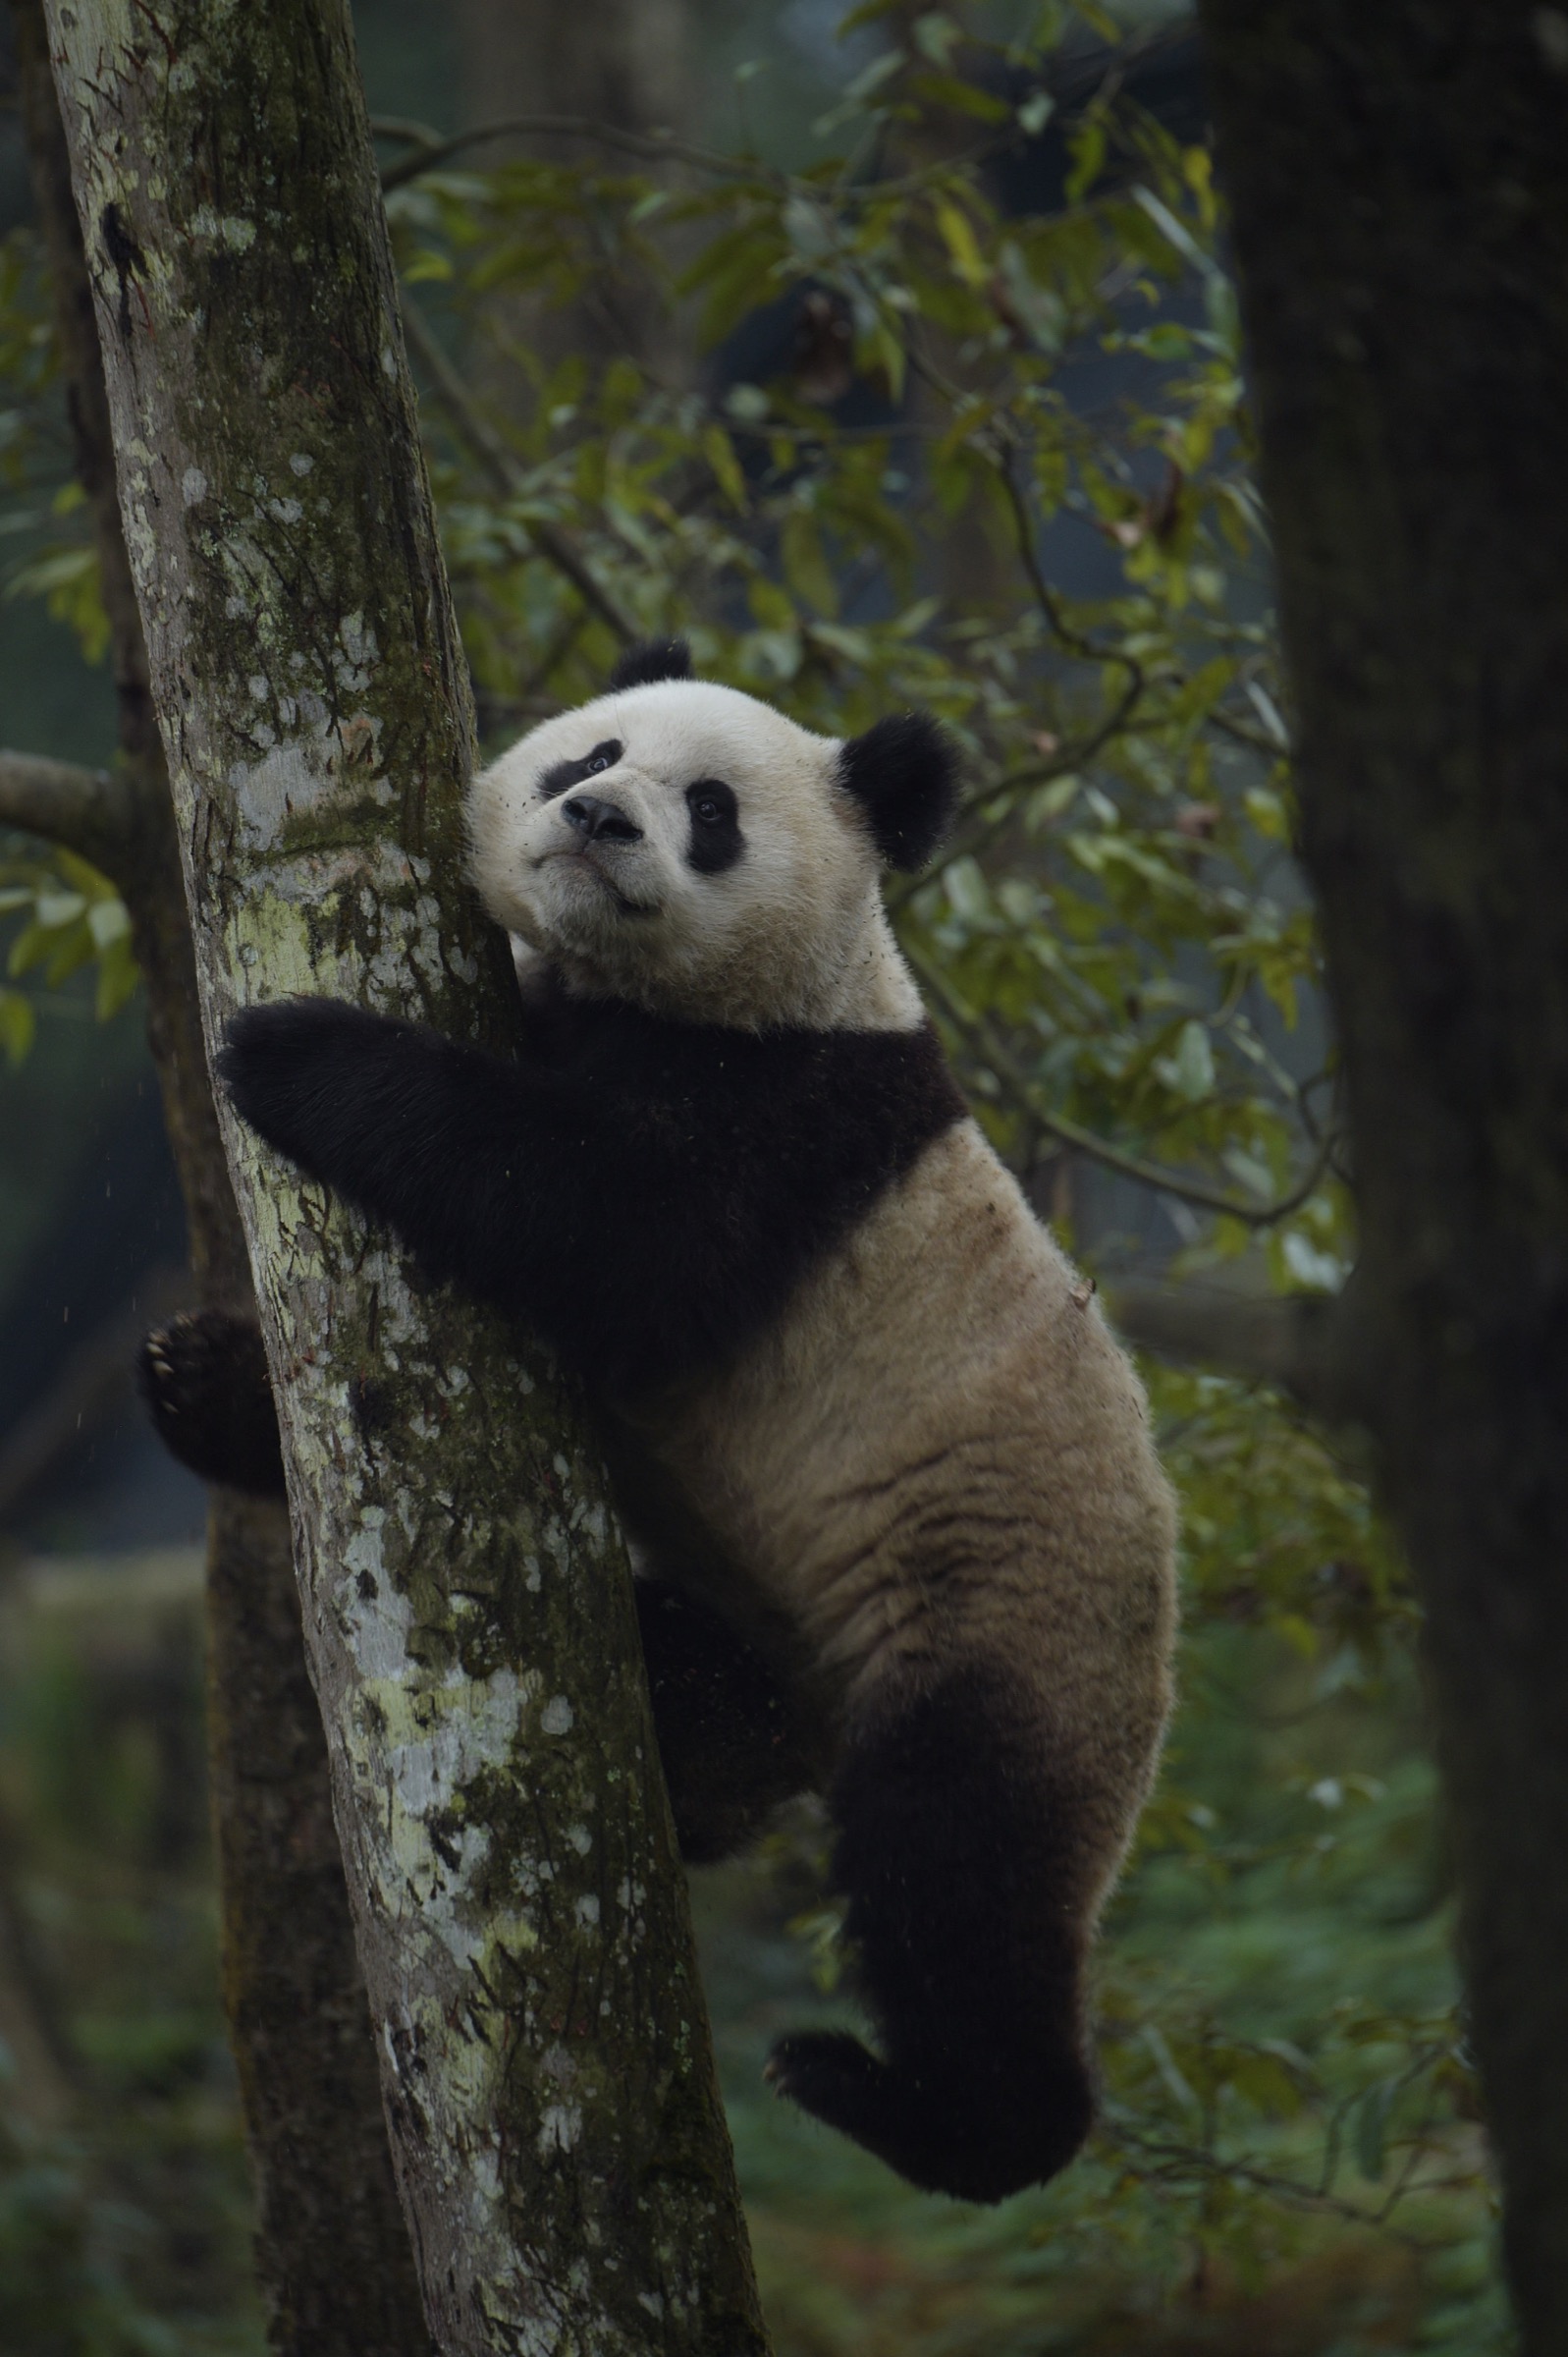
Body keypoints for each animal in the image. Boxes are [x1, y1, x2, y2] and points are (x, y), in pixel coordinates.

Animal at [141, 637, 1178, 2205]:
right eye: (592, 754)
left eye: (709, 811)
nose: (596, 820)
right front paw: (200, 1376)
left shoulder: (789, 1122)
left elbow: (596, 1224)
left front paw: (287, 1049)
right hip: (758, 1637)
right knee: (698, 1690)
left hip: (1012, 1619)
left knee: (960, 1861)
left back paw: (916, 2109)